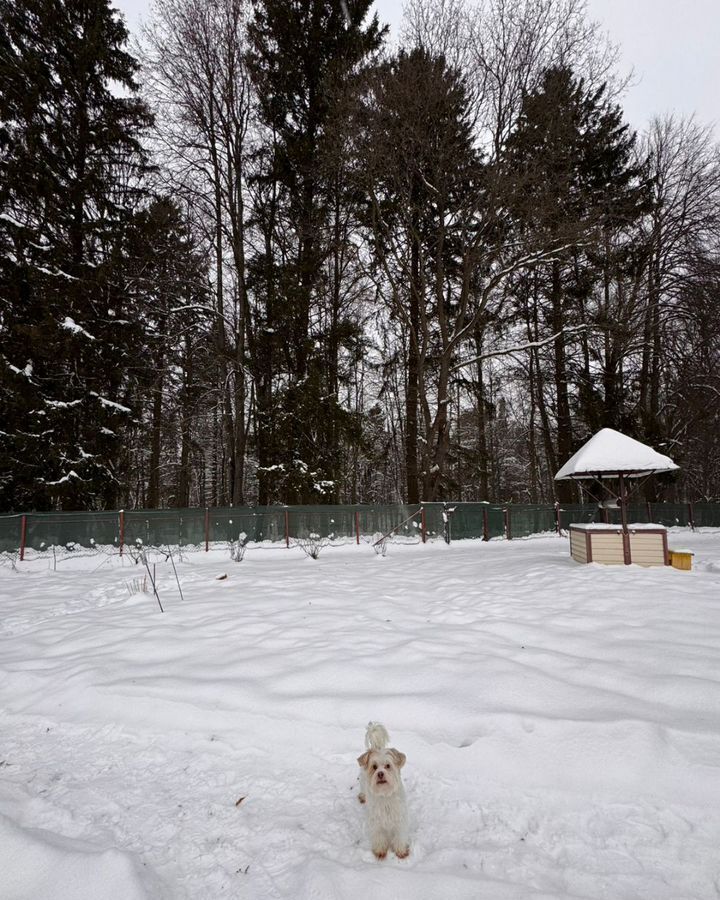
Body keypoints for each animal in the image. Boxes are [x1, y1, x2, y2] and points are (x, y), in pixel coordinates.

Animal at [356, 720, 408, 860]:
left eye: (388, 766)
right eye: (374, 767)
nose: (380, 773)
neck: (384, 795)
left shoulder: (398, 817)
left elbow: (399, 835)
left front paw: (401, 850)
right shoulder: (376, 821)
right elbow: (379, 836)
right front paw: (380, 851)